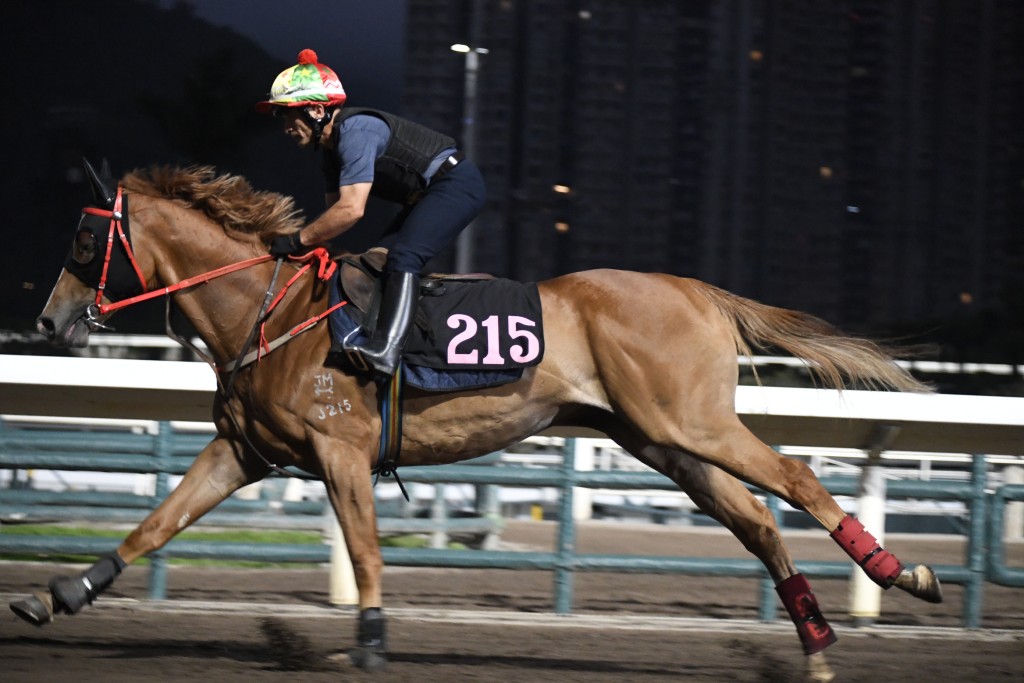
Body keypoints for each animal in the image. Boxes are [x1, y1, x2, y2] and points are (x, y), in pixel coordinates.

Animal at [18, 162, 942, 679]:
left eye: (83, 239)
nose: (49, 322)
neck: (265, 309)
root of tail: (698, 290)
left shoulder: (339, 449)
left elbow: (365, 550)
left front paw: (371, 642)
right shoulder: (243, 450)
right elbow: (154, 522)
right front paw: (58, 593)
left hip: (691, 421)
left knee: (793, 477)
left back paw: (902, 574)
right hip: (657, 437)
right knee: (754, 518)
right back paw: (816, 640)